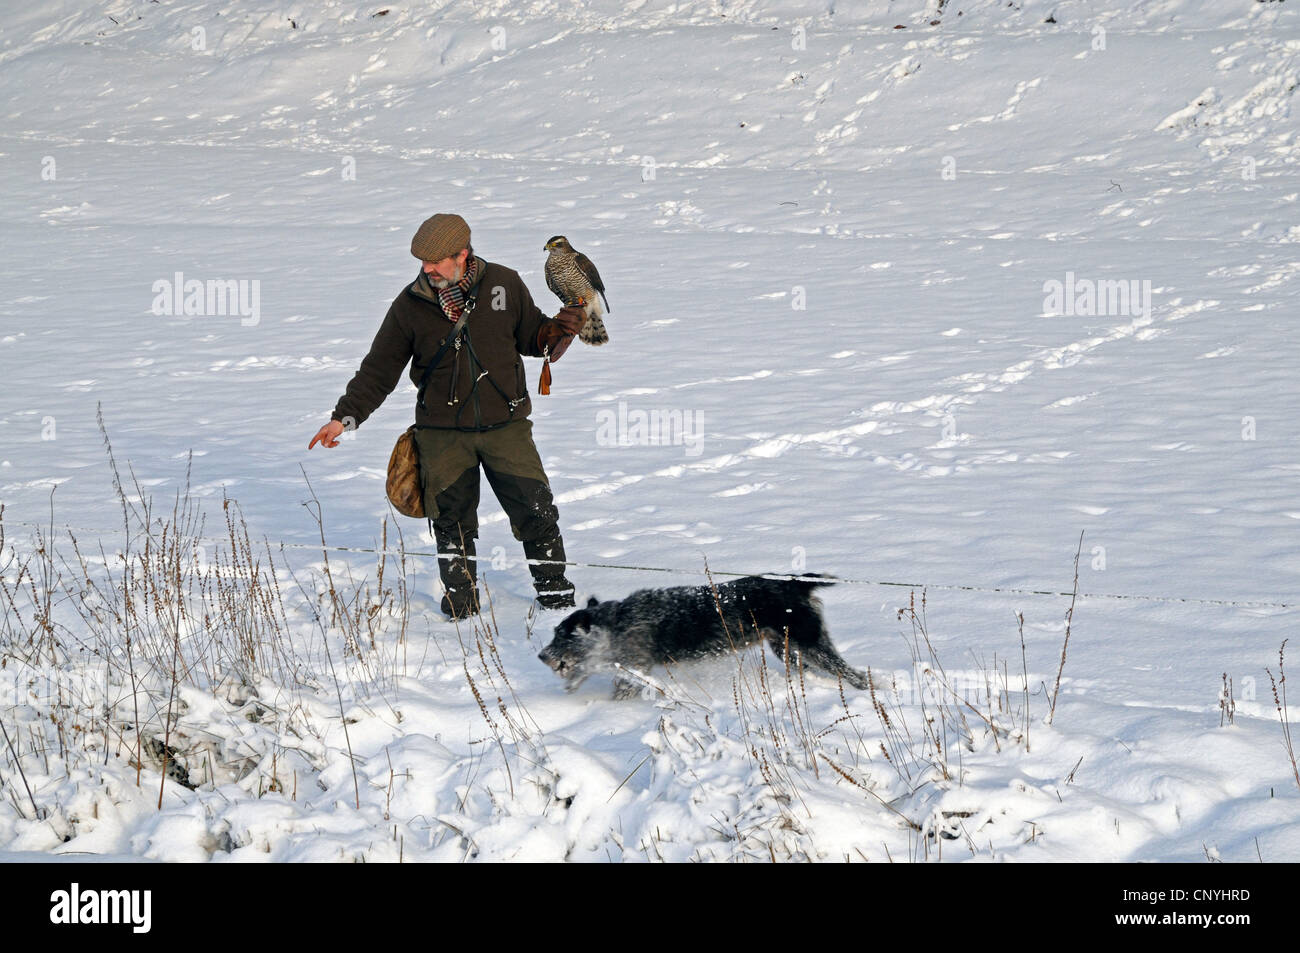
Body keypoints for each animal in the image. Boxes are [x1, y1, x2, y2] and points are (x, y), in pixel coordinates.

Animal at [533, 572, 868, 696]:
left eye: (562, 636)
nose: (541, 656)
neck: (616, 621)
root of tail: (795, 583)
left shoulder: (634, 666)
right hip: (786, 647)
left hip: (810, 643)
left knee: (854, 674)